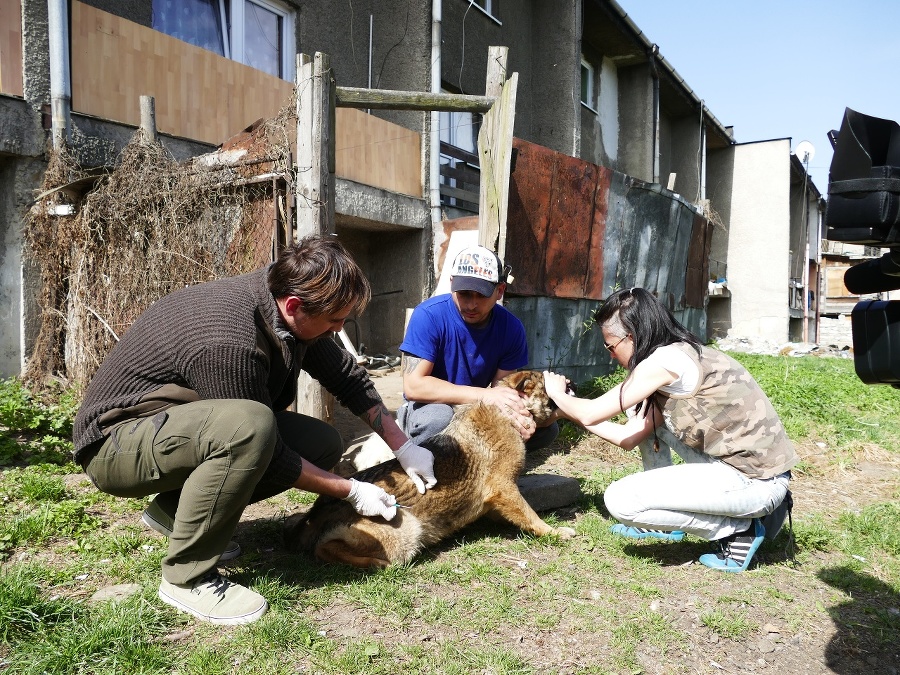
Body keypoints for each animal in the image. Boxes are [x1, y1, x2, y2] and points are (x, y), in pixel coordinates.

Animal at [290, 372, 584, 568]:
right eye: (552, 381)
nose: (573, 382)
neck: (507, 413)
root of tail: (314, 514)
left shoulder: (497, 498)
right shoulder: (504, 488)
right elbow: (531, 514)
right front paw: (554, 532)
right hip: (406, 529)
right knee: (326, 548)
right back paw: (376, 563)